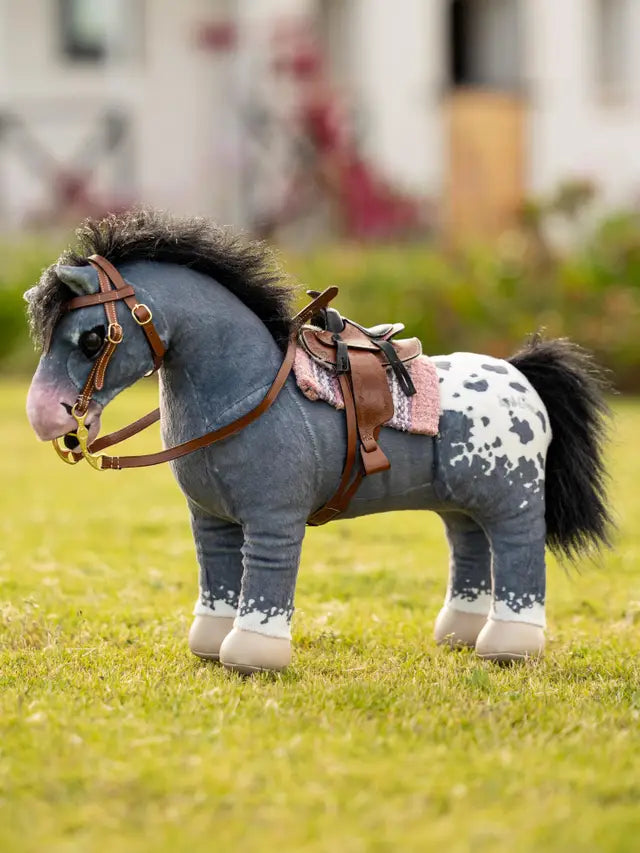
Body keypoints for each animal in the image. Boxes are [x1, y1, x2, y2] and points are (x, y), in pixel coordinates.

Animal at [25, 210, 612, 674]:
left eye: (93, 337)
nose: (42, 416)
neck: (250, 391)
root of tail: (519, 374)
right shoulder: (210, 521)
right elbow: (218, 577)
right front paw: (212, 645)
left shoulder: (273, 520)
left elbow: (265, 579)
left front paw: (252, 655)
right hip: (462, 504)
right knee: (471, 546)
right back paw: (461, 635)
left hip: (513, 501)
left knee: (519, 551)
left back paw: (509, 646)